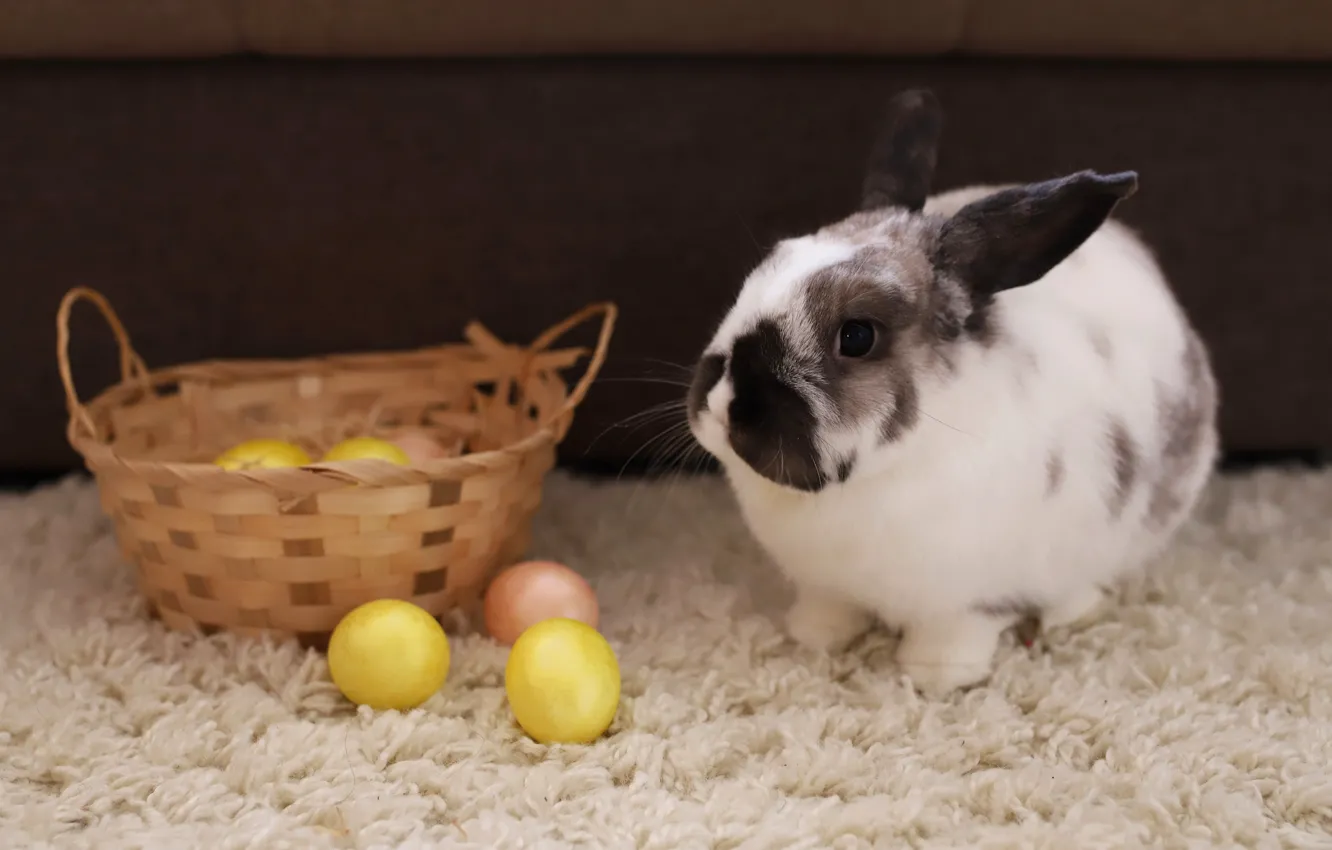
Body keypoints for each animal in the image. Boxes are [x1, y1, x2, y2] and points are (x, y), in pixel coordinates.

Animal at [685, 89, 1219, 697]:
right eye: (757, 276)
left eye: (857, 335)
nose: (722, 404)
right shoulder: (826, 586)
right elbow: (828, 612)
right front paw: (813, 638)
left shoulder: (970, 603)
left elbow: (956, 635)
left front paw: (935, 676)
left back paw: (1070, 614)